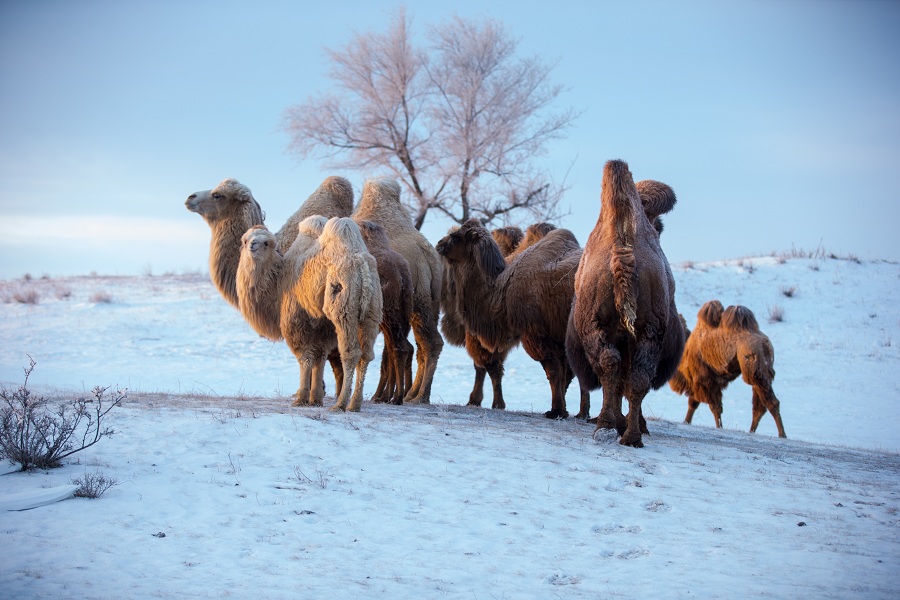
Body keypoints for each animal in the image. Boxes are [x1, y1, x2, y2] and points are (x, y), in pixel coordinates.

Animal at [352, 178, 442, 404]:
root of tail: (428, 254)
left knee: (420, 344)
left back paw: (416, 396)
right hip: (426, 302)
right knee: (422, 344)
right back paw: (412, 393)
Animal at [438, 218, 592, 420]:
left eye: (456, 237)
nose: (439, 244)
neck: (500, 292)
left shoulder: (536, 334)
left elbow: (554, 373)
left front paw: (556, 411)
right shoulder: (559, 338)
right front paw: (573, 411)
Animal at [568, 159, 684, 446]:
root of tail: (622, 250)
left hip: (602, 328)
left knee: (615, 368)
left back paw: (611, 427)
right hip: (647, 330)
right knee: (635, 376)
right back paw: (630, 435)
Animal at [668, 302, 788, 438]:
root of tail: (765, 343)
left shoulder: (704, 379)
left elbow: (714, 407)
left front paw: (719, 427)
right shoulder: (700, 382)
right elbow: (693, 404)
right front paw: (686, 422)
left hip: (753, 369)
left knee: (770, 402)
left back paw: (782, 434)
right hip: (761, 372)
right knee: (760, 406)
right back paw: (752, 431)